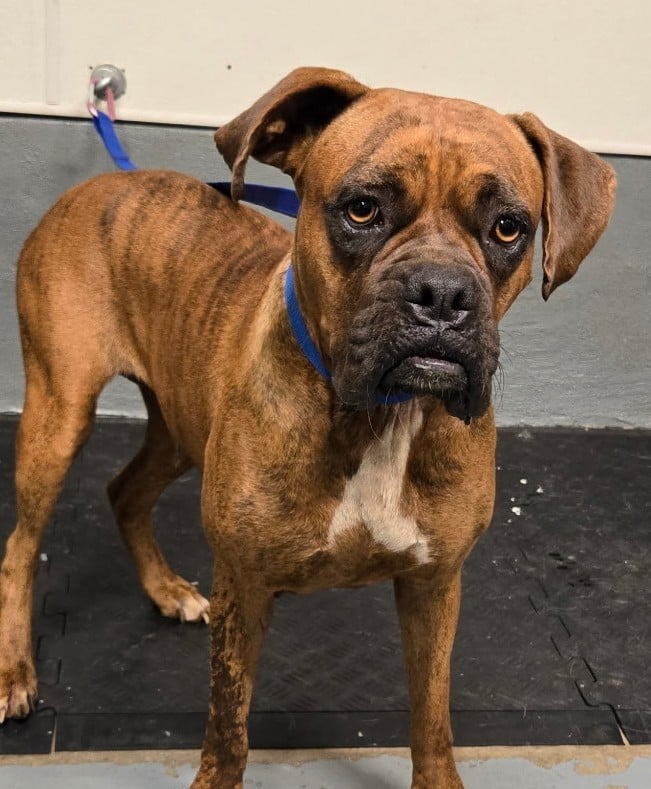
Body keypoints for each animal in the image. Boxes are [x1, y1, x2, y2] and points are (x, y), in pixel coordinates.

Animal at [0, 67, 615, 787]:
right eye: (361, 209)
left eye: (508, 227)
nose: (440, 293)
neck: (381, 416)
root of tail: (103, 182)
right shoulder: (244, 587)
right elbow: (228, 725)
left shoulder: (434, 586)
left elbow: (432, 718)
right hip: (59, 412)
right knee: (20, 546)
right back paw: (15, 671)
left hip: (179, 425)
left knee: (124, 491)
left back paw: (165, 589)